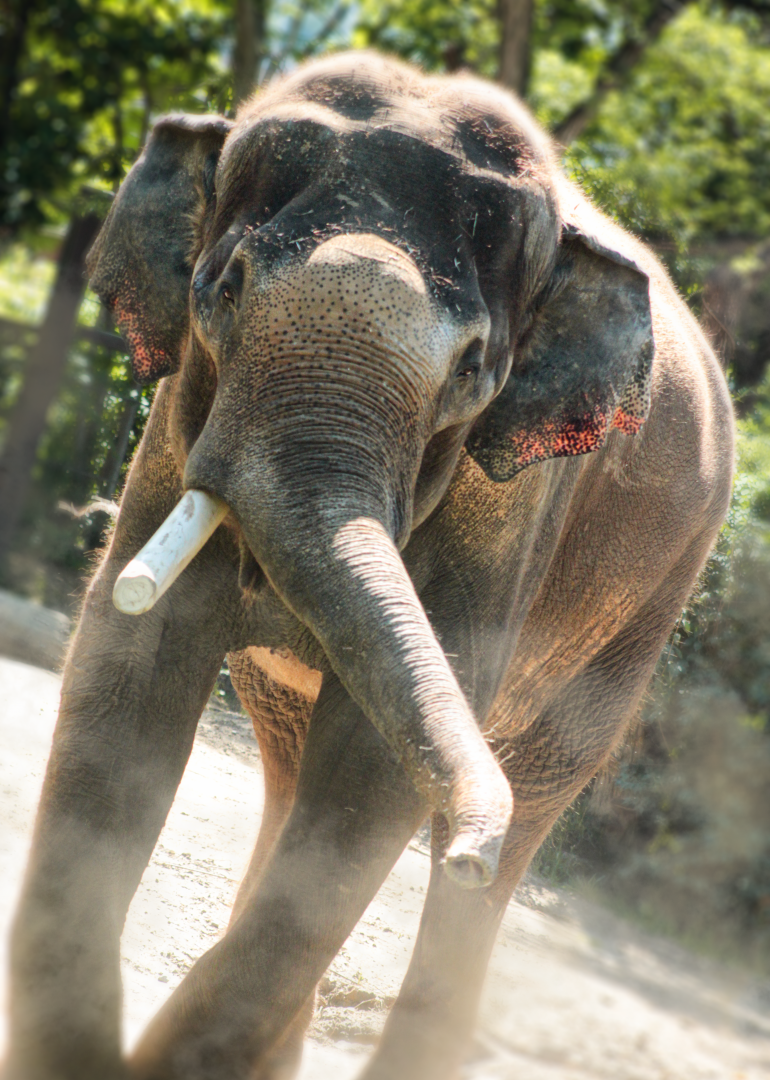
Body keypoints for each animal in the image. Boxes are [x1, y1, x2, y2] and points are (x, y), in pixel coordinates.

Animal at [5, 50, 734, 1080]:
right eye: (225, 287)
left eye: (472, 368)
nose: (466, 844)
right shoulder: (174, 432)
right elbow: (128, 677)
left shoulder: (505, 518)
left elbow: (374, 770)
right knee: (290, 763)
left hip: (645, 613)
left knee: (526, 803)